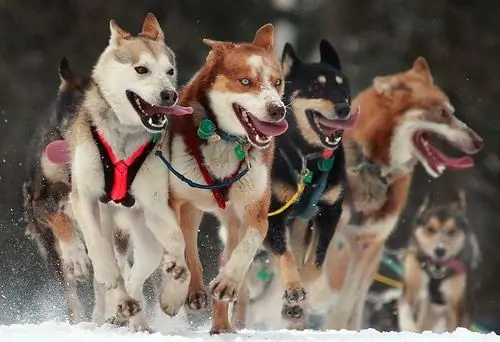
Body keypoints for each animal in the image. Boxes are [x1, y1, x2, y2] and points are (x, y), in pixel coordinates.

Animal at [69, 14, 195, 332]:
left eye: (169, 71)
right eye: (141, 69)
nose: (169, 95)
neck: (124, 138)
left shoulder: (154, 205)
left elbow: (177, 240)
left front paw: (175, 283)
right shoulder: (83, 197)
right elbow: (100, 249)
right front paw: (109, 274)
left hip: (147, 238)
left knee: (135, 278)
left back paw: (135, 315)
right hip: (107, 222)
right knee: (110, 272)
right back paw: (113, 304)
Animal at [169, 24, 290, 334]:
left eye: (277, 82)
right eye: (245, 81)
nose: (277, 110)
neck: (225, 139)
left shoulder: (254, 210)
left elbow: (249, 245)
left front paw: (227, 283)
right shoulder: (177, 201)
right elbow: (184, 252)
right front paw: (182, 291)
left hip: (232, 220)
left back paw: (221, 324)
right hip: (192, 209)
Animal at [398, 190, 480, 332]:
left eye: (452, 231)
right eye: (430, 229)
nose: (440, 251)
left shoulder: (457, 304)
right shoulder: (412, 284)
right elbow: (405, 308)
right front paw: (409, 327)